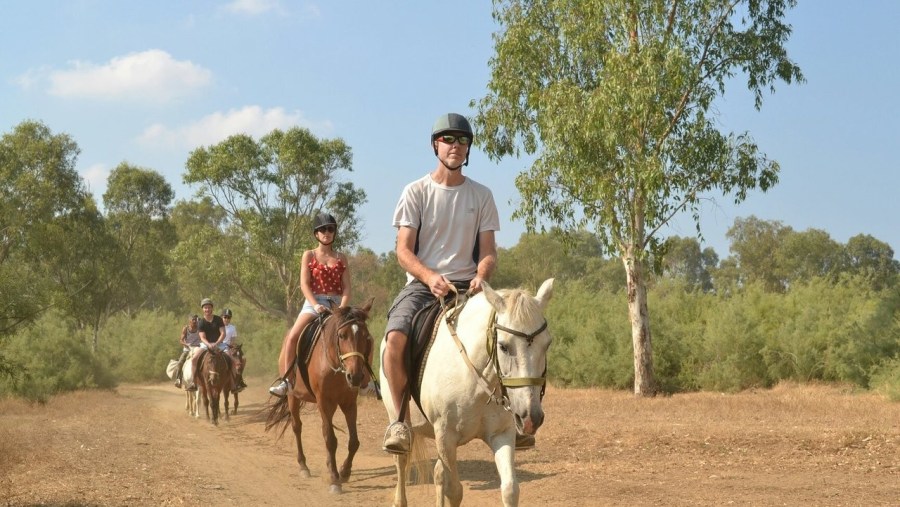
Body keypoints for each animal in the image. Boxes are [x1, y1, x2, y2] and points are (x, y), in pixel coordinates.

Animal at [268, 300, 380, 494]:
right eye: (342, 335)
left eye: (366, 336)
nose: (356, 377)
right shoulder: (324, 402)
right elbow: (330, 439)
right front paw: (334, 479)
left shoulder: (349, 403)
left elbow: (354, 441)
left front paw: (344, 472)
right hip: (293, 396)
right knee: (297, 427)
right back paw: (303, 466)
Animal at [378, 278, 552, 507]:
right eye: (503, 346)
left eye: (547, 344)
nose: (530, 418)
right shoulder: (446, 436)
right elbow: (454, 492)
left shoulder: (501, 434)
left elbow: (510, 489)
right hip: (399, 420)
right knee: (401, 464)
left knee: (438, 473)